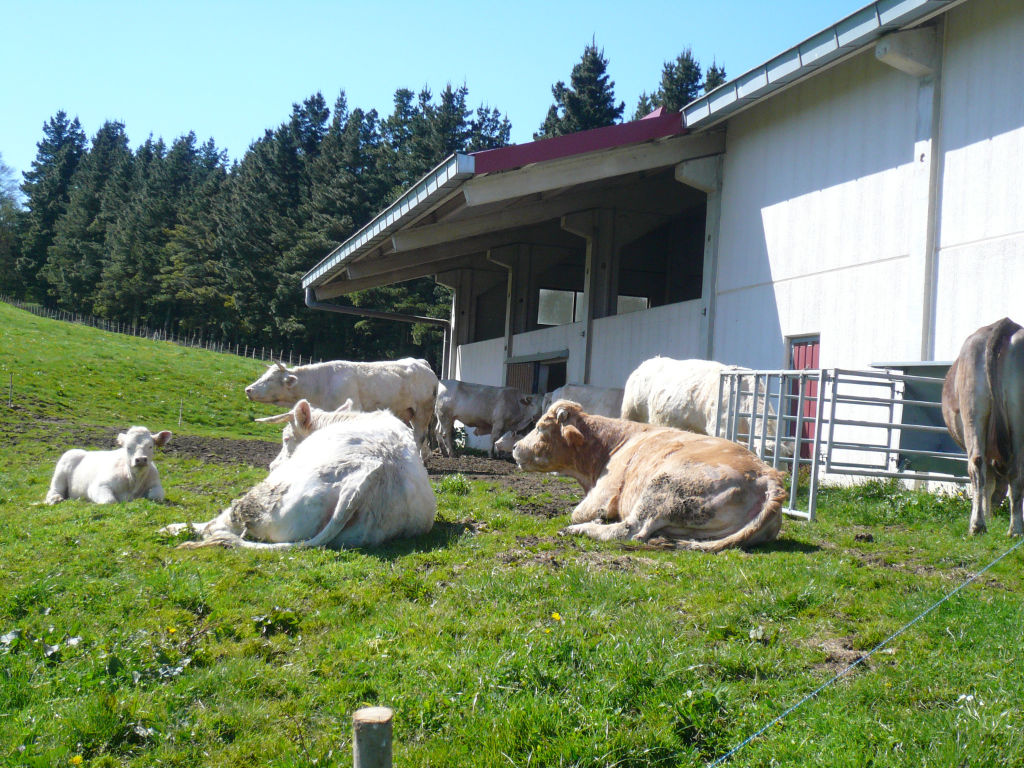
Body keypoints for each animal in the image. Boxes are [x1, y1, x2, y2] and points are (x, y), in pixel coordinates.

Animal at [160, 406, 435, 549]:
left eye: (286, 438)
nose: (272, 465)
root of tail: (372, 471)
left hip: (259, 500)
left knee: (216, 525)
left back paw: (172, 528)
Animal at [244, 358, 438, 459]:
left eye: (270, 379)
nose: (248, 390)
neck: (320, 384)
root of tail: (421, 363)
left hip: (422, 412)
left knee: (419, 436)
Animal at [513, 400, 784, 551]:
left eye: (540, 428)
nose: (515, 447)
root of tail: (768, 476)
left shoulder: (603, 492)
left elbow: (578, 512)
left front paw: (594, 518)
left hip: (664, 490)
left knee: (630, 530)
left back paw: (578, 530)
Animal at [941, 317, 1024, 536]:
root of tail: (1005, 325)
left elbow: (988, 483)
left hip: (973, 412)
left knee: (977, 465)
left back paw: (977, 525)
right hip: (1018, 416)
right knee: (1016, 470)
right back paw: (1015, 529)